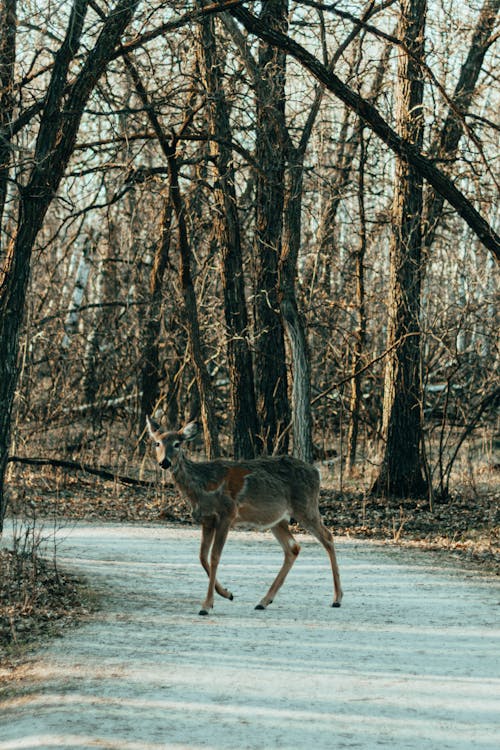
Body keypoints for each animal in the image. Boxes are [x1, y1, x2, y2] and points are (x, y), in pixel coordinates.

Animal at [146, 418, 342, 616]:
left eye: (177, 444)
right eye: (157, 443)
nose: (164, 462)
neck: (203, 487)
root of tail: (316, 472)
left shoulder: (227, 514)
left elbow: (215, 556)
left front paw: (207, 605)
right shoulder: (207, 519)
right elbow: (202, 556)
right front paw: (227, 593)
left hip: (305, 507)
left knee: (327, 537)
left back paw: (337, 598)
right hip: (278, 519)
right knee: (293, 547)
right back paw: (263, 601)